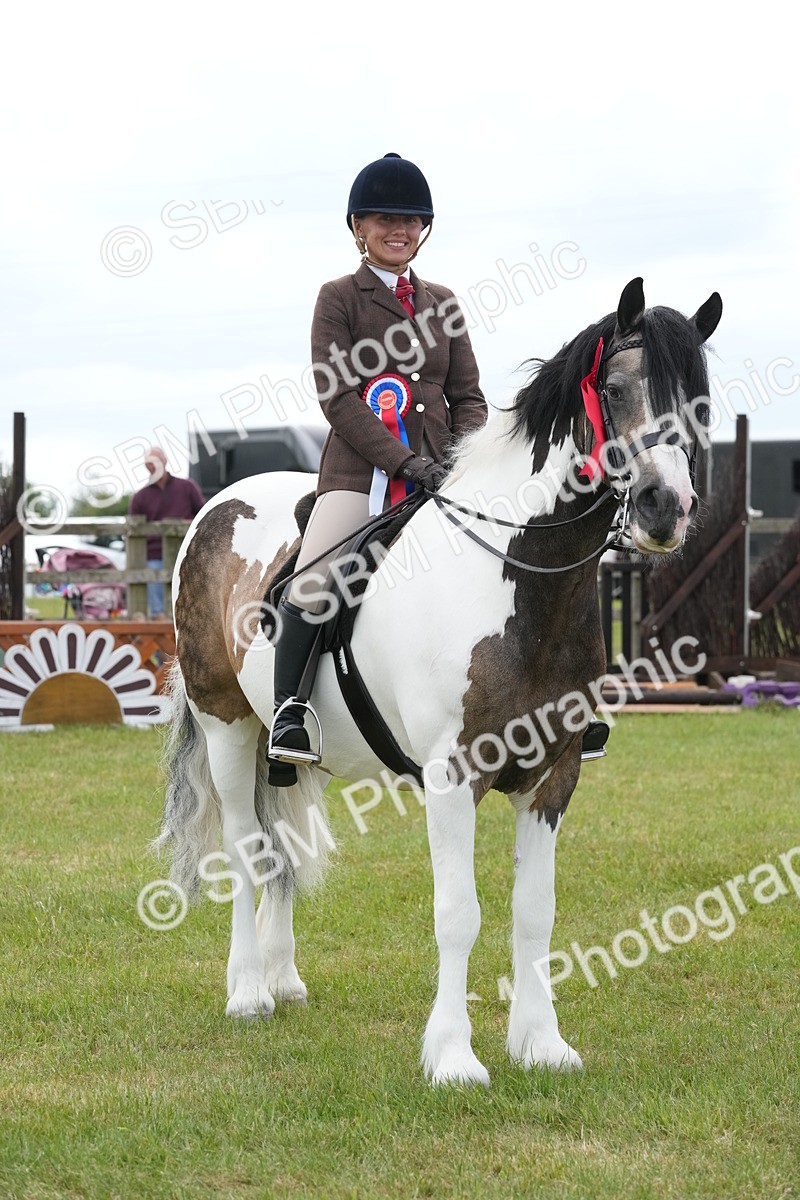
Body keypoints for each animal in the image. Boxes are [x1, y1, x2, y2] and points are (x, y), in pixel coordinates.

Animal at [157, 276, 722, 1087]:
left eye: (700, 403)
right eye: (615, 390)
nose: (663, 509)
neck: (521, 581)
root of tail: (219, 503)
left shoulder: (555, 776)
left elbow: (534, 911)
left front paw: (541, 1044)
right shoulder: (453, 776)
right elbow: (459, 913)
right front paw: (454, 1056)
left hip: (285, 748)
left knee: (283, 848)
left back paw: (283, 977)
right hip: (226, 725)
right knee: (243, 846)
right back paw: (247, 992)